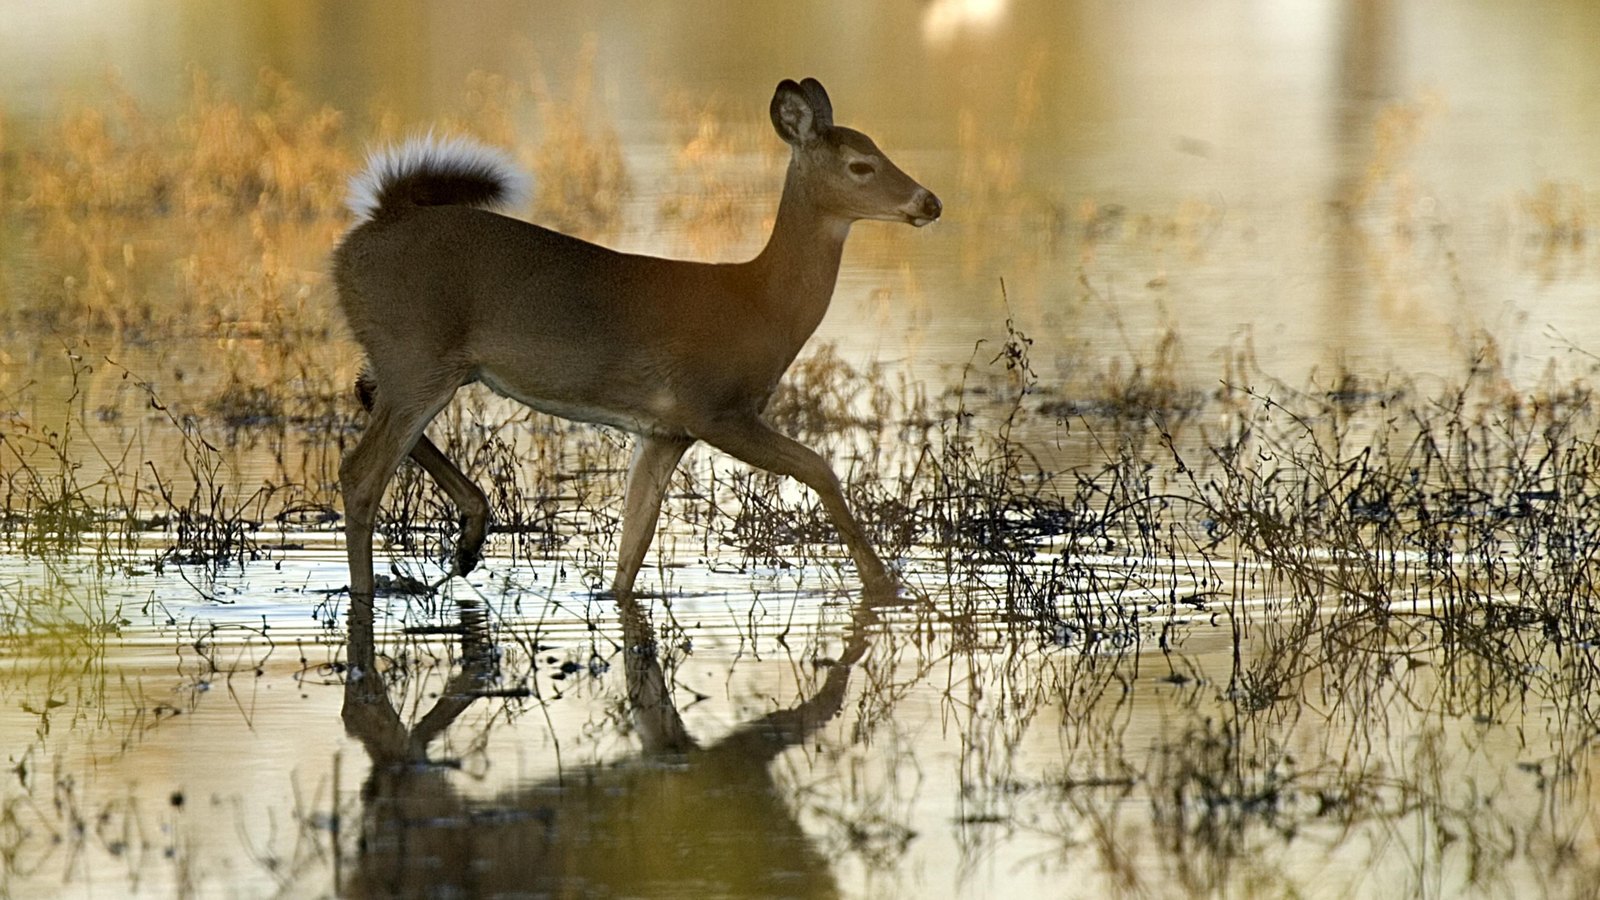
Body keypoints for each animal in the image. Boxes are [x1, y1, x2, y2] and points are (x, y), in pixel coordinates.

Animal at [332, 77, 941, 606]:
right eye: (860, 165)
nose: (929, 202)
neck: (759, 303)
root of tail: (372, 226)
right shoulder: (715, 408)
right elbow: (819, 467)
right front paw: (885, 586)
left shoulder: (664, 432)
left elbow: (634, 545)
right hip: (417, 356)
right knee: (360, 475)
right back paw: (368, 589)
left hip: (415, 359)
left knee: (365, 395)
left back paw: (468, 539)